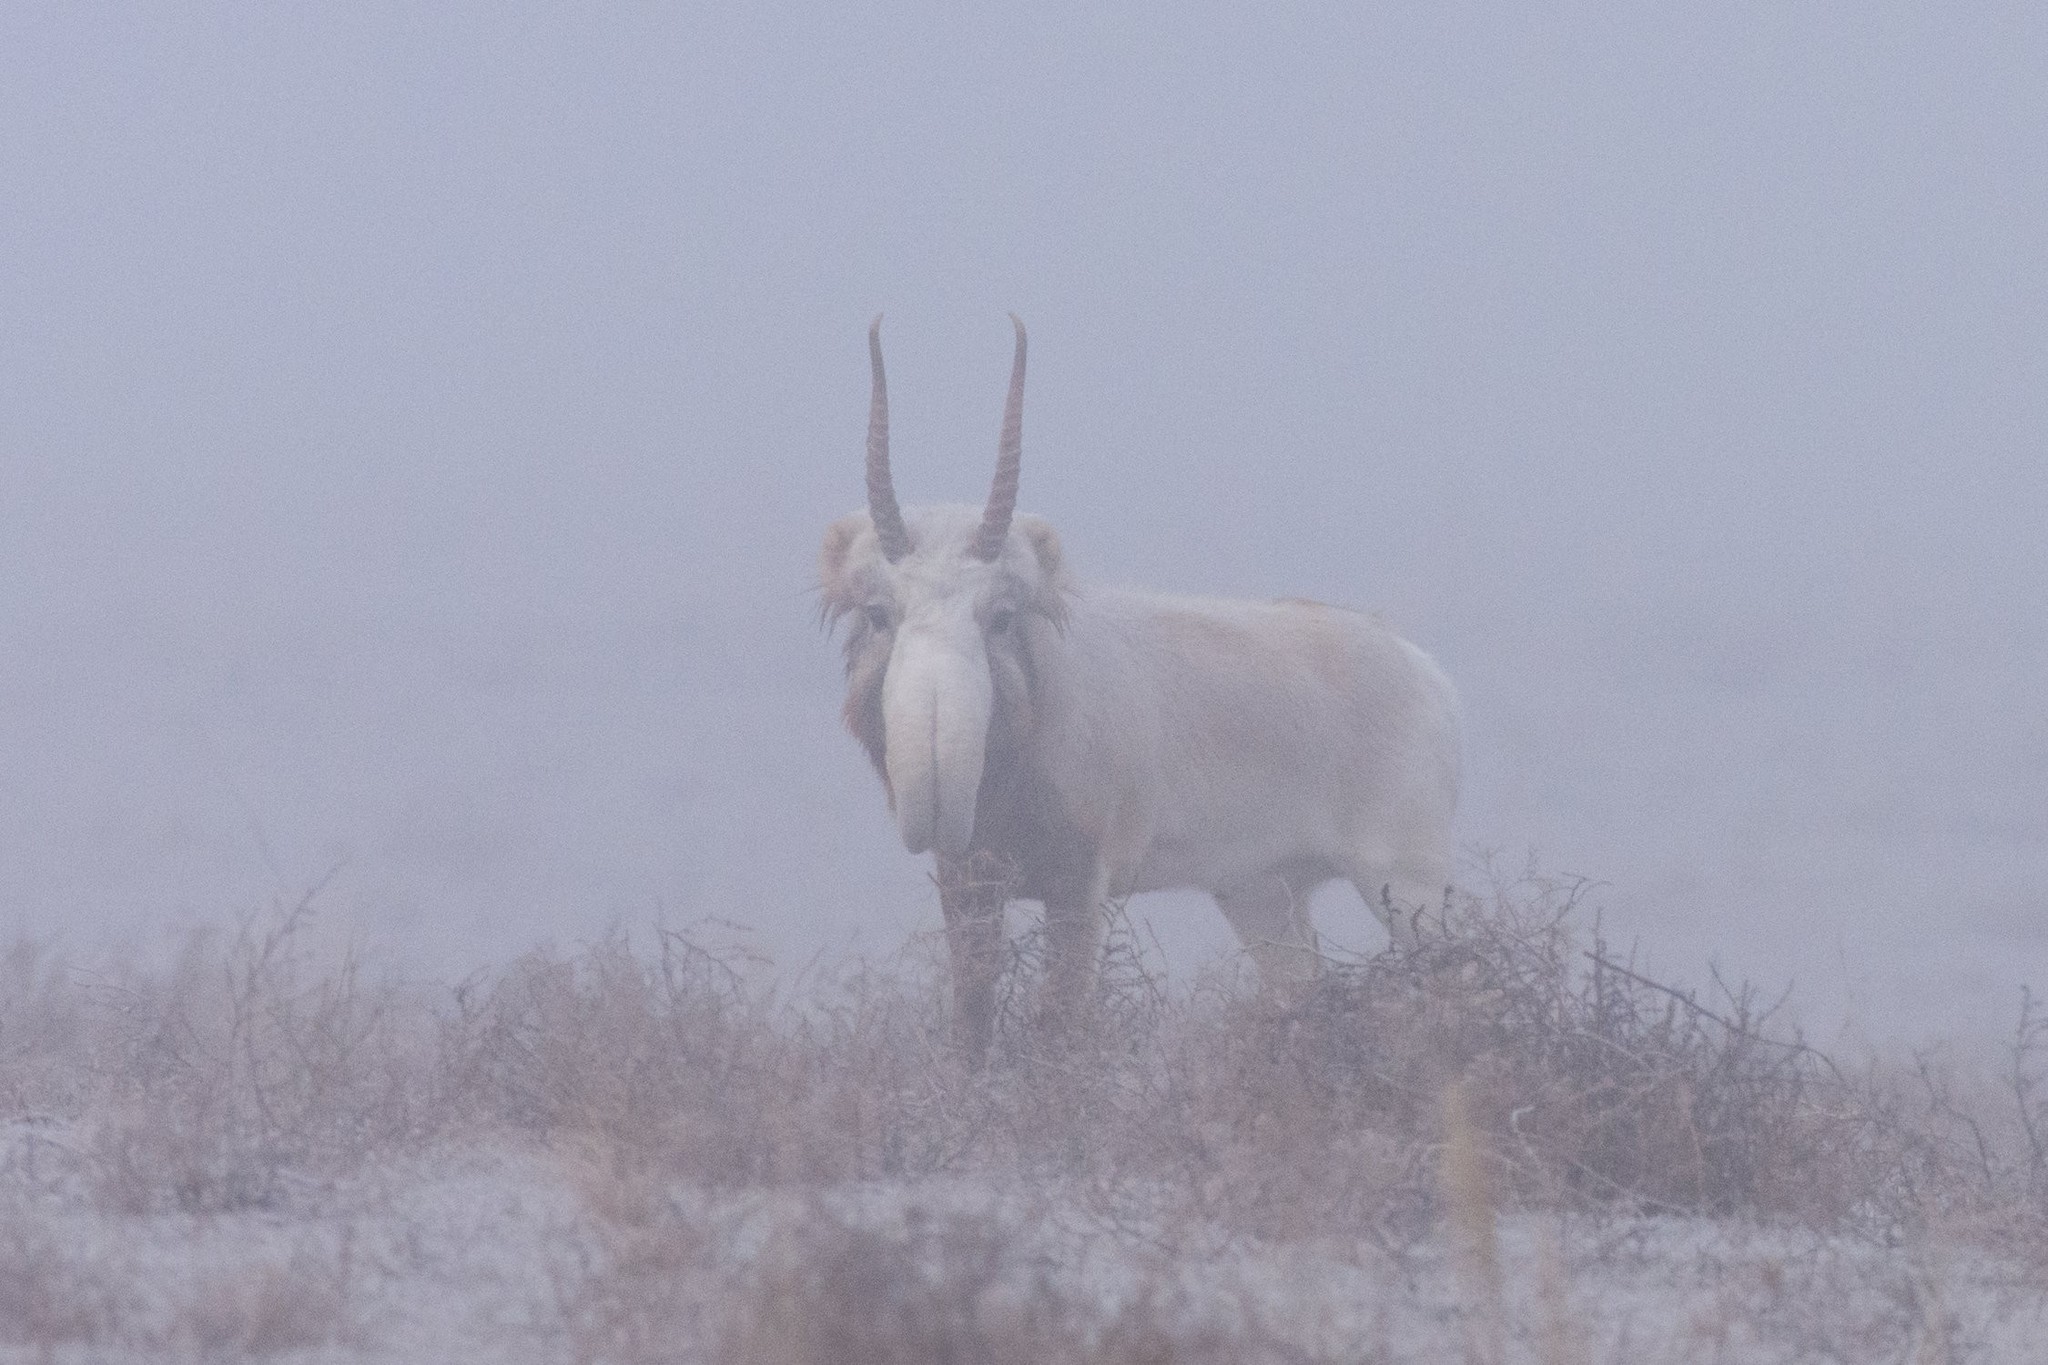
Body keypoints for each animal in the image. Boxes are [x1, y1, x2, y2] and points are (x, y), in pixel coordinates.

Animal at [815, 317, 1458, 1055]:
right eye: (878, 612)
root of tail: (1427, 674)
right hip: (1264, 896)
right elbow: (972, 1018)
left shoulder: (1079, 882)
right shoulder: (969, 880)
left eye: (1001, 615)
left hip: (1405, 880)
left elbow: (1061, 1019)